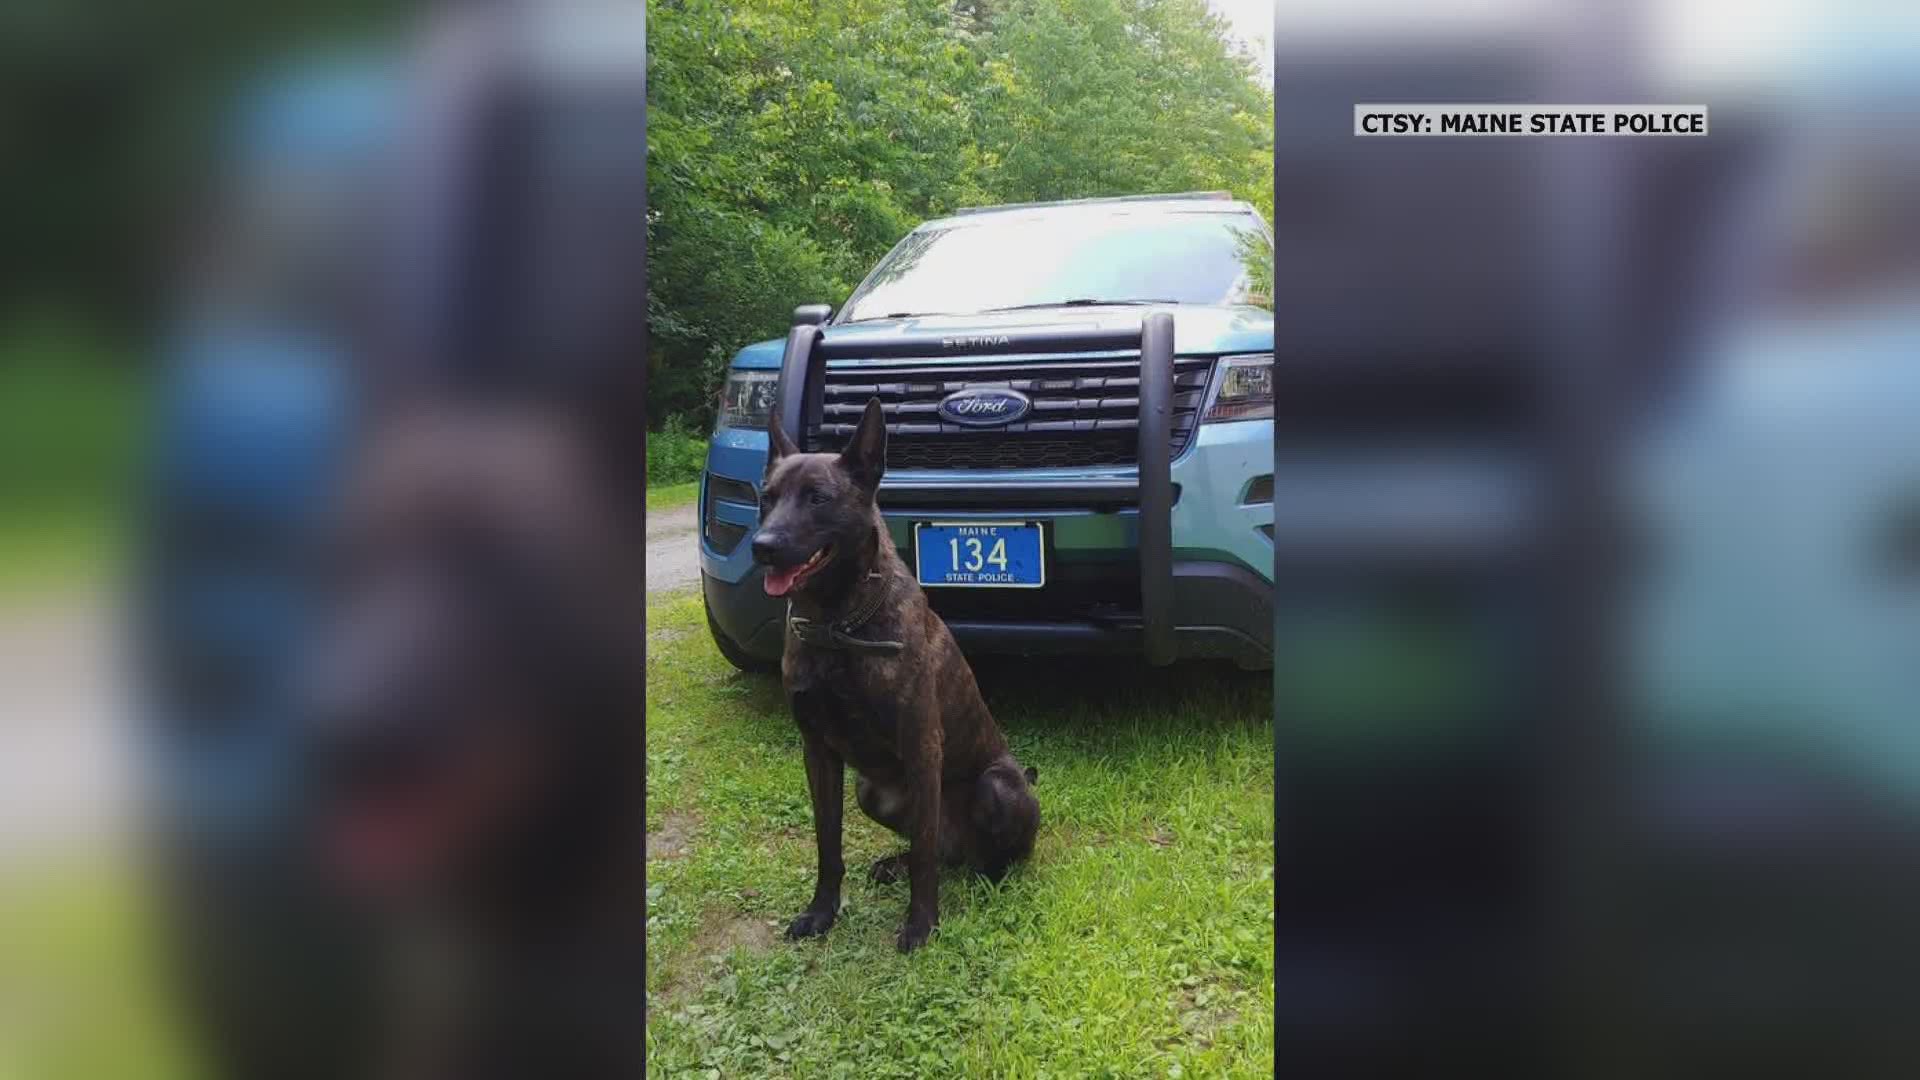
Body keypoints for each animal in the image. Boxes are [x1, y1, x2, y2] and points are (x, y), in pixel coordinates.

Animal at [752, 397, 1044, 949]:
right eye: (767, 498)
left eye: (818, 497)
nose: (762, 545)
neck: (839, 626)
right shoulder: (817, 753)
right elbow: (828, 846)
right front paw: (822, 912)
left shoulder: (922, 747)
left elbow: (925, 859)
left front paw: (921, 924)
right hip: (870, 792)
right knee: (939, 854)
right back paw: (895, 863)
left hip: (997, 788)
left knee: (970, 856)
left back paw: (988, 876)